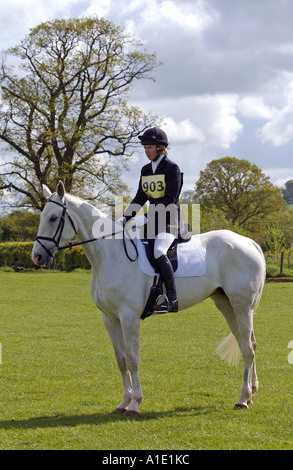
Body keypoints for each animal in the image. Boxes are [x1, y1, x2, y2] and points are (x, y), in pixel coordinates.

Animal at [31, 182, 264, 414]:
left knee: (247, 348)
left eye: (53, 218)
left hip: (242, 306)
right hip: (225, 303)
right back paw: (252, 392)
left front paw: (135, 403)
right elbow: (121, 360)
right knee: (248, 343)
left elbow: (133, 359)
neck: (111, 255)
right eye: (42, 216)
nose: (37, 257)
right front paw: (123, 402)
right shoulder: (110, 318)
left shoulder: (129, 316)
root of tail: (249, 242)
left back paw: (243, 398)